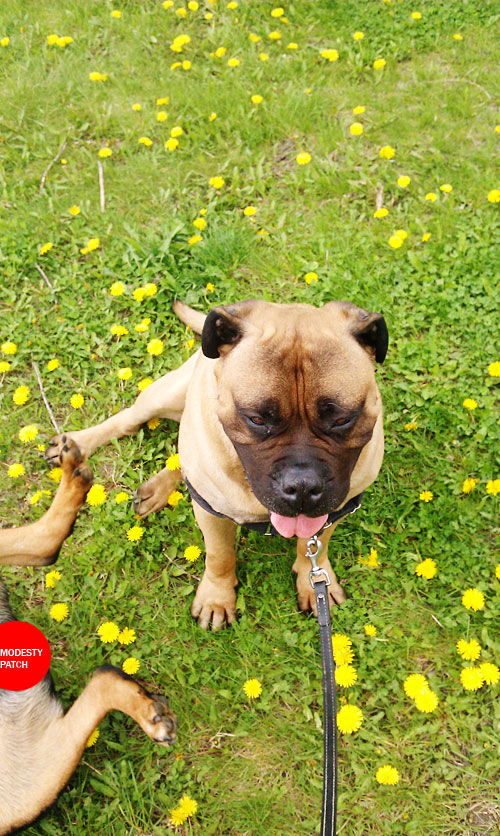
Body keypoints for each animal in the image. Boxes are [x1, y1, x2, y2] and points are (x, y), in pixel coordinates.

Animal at [46, 298, 386, 628]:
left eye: (342, 419)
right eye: (256, 418)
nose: (302, 486)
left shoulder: (333, 512)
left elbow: (315, 548)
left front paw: (314, 582)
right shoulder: (212, 513)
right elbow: (219, 555)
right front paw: (217, 598)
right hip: (163, 397)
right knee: (131, 422)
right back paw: (77, 442)